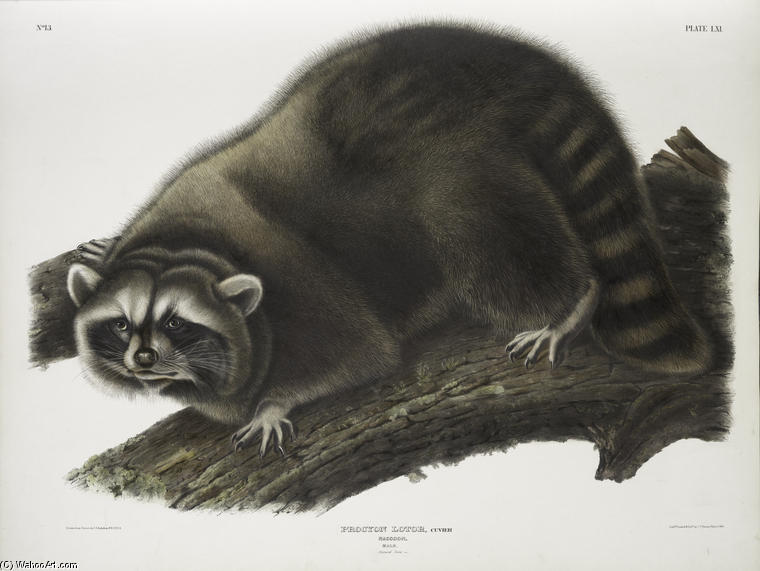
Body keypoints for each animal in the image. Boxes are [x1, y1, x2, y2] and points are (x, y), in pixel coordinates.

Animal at [66, 23, 711, 456]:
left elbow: (360, 353)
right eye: (121, 325)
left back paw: (569, 302)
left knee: (487, 239)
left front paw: (274, 402)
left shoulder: (302, 285)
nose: (144, 359)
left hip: (459, 171)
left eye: (177, 323)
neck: (188, 246)